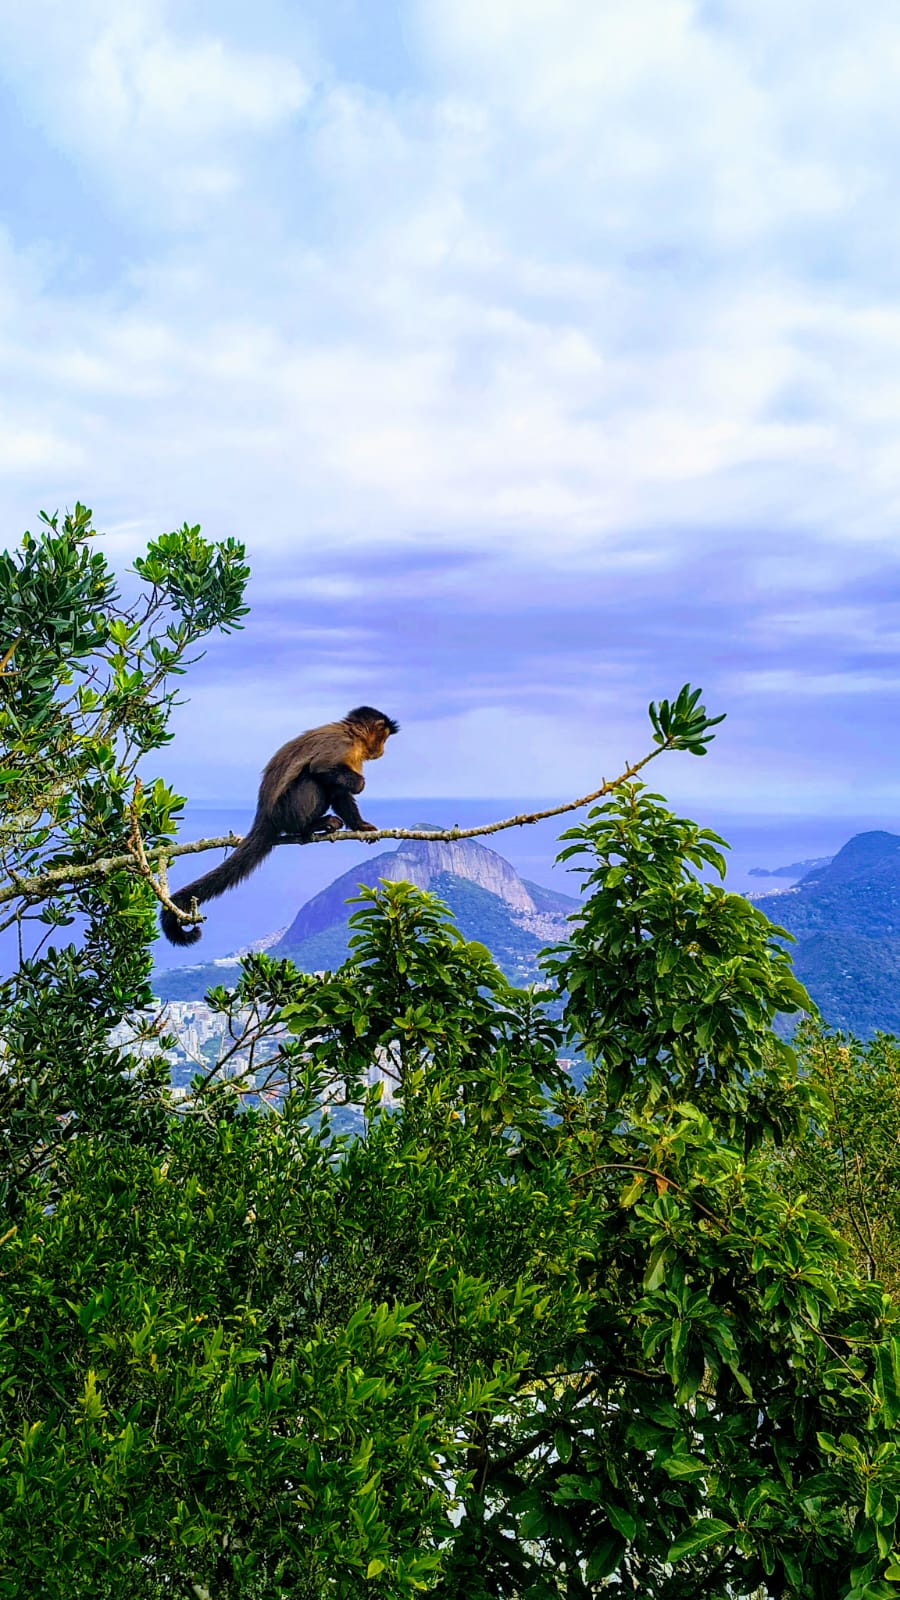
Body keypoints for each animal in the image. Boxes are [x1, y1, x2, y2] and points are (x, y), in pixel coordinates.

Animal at [160, 706, 399, 947]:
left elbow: (340, 793)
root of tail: (264, 815)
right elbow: (321, 768)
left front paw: (361, 826)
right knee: (314, 778)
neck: (350, 733)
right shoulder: (343, 744)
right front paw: (359, 784)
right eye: (384, 738)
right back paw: (310, 827)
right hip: (288, 809)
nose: (382, 750)